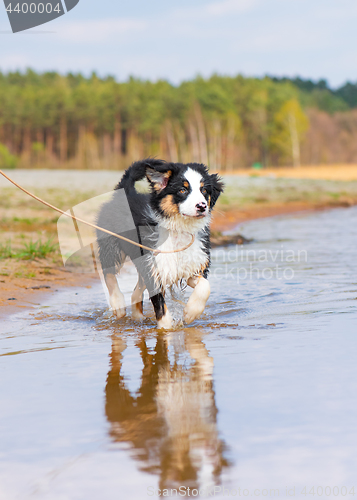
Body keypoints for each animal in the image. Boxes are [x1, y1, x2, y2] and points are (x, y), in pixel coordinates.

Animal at [94, 157, 222, 328]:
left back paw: (137, 317)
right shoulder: (155, 268)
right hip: (112, 244)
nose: (202, 206)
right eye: (182, 190)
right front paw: (166, 328)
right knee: (108, 271)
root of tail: (125, 192)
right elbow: (161, 308)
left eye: (204, 191)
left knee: (135, 290)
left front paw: (190, 312)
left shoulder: (193, 263)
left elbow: (205, 286)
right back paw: (118, 304)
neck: (179, 229)